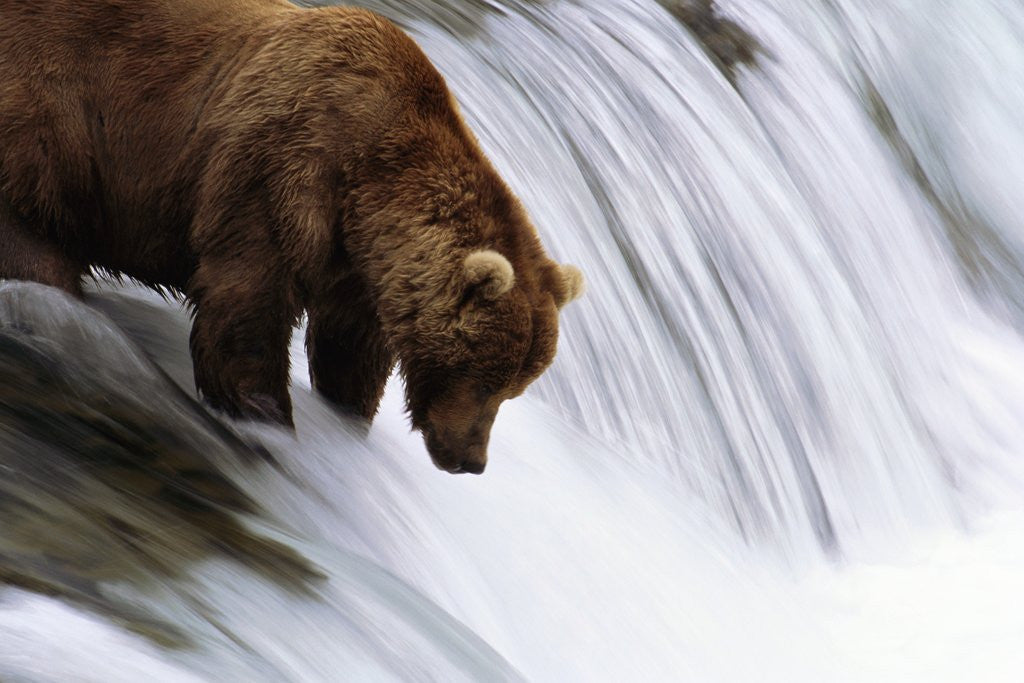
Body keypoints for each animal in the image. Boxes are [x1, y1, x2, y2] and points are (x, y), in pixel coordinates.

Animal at [0, 0, 583, 474]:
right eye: (485, 377)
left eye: (515, 387)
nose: (470, 460)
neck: (369, 178)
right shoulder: (283, 169)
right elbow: (246, 305)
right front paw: (266, 419)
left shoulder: (355, 266)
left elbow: (348, 350)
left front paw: (346, 418)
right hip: (51, 118)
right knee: (34, 235)